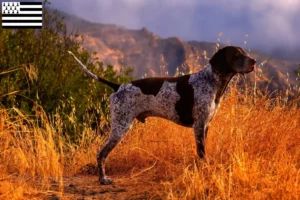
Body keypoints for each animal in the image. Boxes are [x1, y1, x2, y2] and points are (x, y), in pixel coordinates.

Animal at [68, 45, 255, 184]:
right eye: (236, 54)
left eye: (244, 53)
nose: (254, 61)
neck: (211, 81)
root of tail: (118, 86)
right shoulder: (199, 126)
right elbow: (201, 153)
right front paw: (203, 172)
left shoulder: (205, 126)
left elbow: (202, 153)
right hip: (120, 127)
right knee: (101, 154)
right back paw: (103, 179)